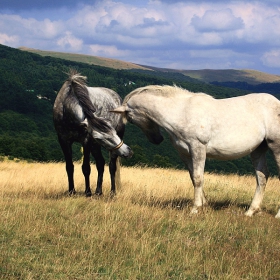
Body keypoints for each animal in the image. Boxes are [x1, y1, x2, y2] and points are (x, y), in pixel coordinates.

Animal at [112, 84, 280, 218]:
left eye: (130, 118)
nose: (157, 140)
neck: (180, 112)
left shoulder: (198, 148)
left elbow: (199, 178)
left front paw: (195, 209)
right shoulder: (185, 154)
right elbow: (193, 178)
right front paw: (204, 205)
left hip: (275, 147)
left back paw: (277, 215)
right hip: (258, 149)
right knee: (262, 177)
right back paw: (250, 211)